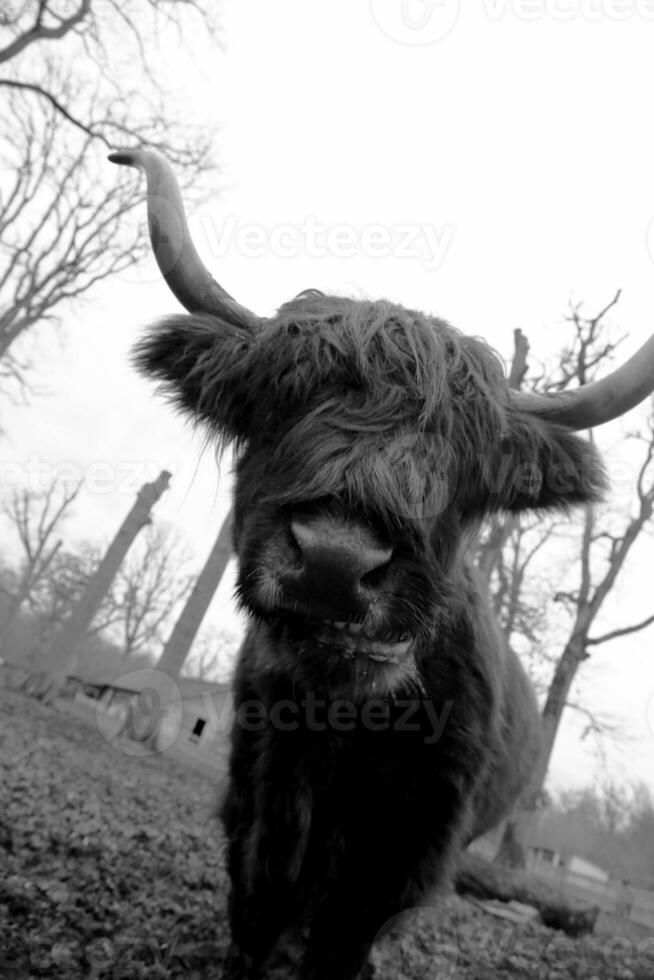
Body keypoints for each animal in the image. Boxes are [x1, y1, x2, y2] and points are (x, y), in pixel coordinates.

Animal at [110, 147, 654, 980]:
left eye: (467, 457)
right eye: (278, 399)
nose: (335, 563)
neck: (344, 724)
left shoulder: (417, 832)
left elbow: (346, 928)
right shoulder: (261, 778)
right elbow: (258, 897)